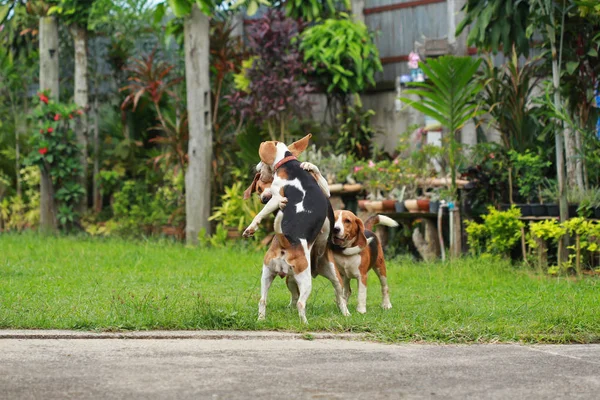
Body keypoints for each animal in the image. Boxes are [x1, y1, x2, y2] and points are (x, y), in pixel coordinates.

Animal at [241, 136, 350, 324]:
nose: (256, 167)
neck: (288, 163)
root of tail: (286, 241)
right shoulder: (277, 197)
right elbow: (260, 214)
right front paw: (251, 228)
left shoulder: (278, 196)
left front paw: (309, 165)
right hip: (303, 279)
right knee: (301, 303)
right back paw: (306, 323)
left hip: (268, 273)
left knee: (263, 300)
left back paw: (262, 319)